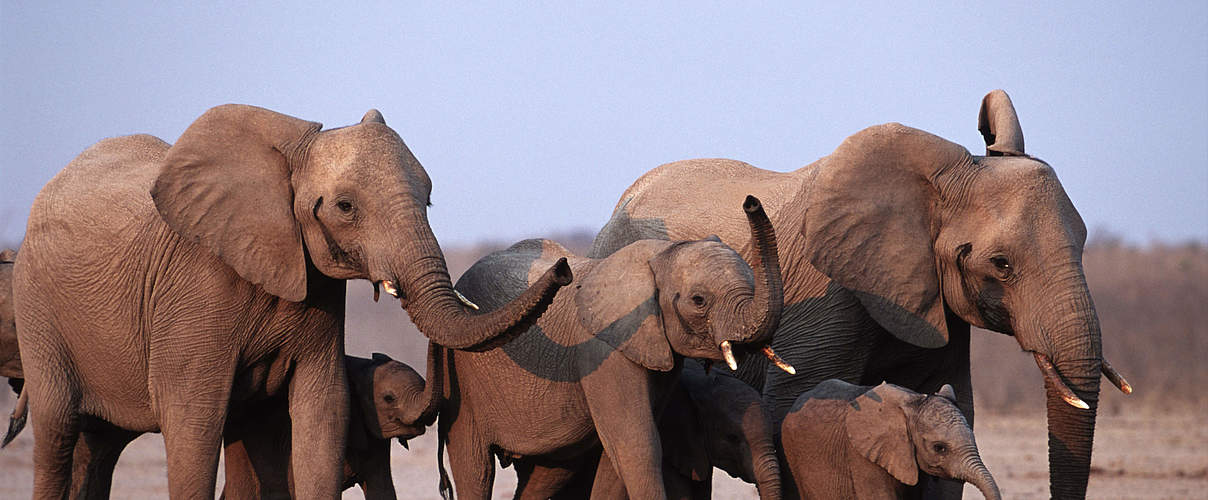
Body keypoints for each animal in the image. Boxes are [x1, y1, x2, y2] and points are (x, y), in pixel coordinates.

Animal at [11, 104, 570, 495]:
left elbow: (323, 408)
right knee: (57, 429)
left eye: (429, 199)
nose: (562, 267)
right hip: (35, 306)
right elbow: (193, 419)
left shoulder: (317, 289)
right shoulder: (193, 289)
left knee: (98, 447)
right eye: (345, 207)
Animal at [439, 196, 787, 500]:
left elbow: (615, 454)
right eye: (699, 300)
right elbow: (636, 443)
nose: (750, 202)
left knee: (547, 476)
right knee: (475, 469)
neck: (657, 255)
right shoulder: (604, 351)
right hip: (463, 381)